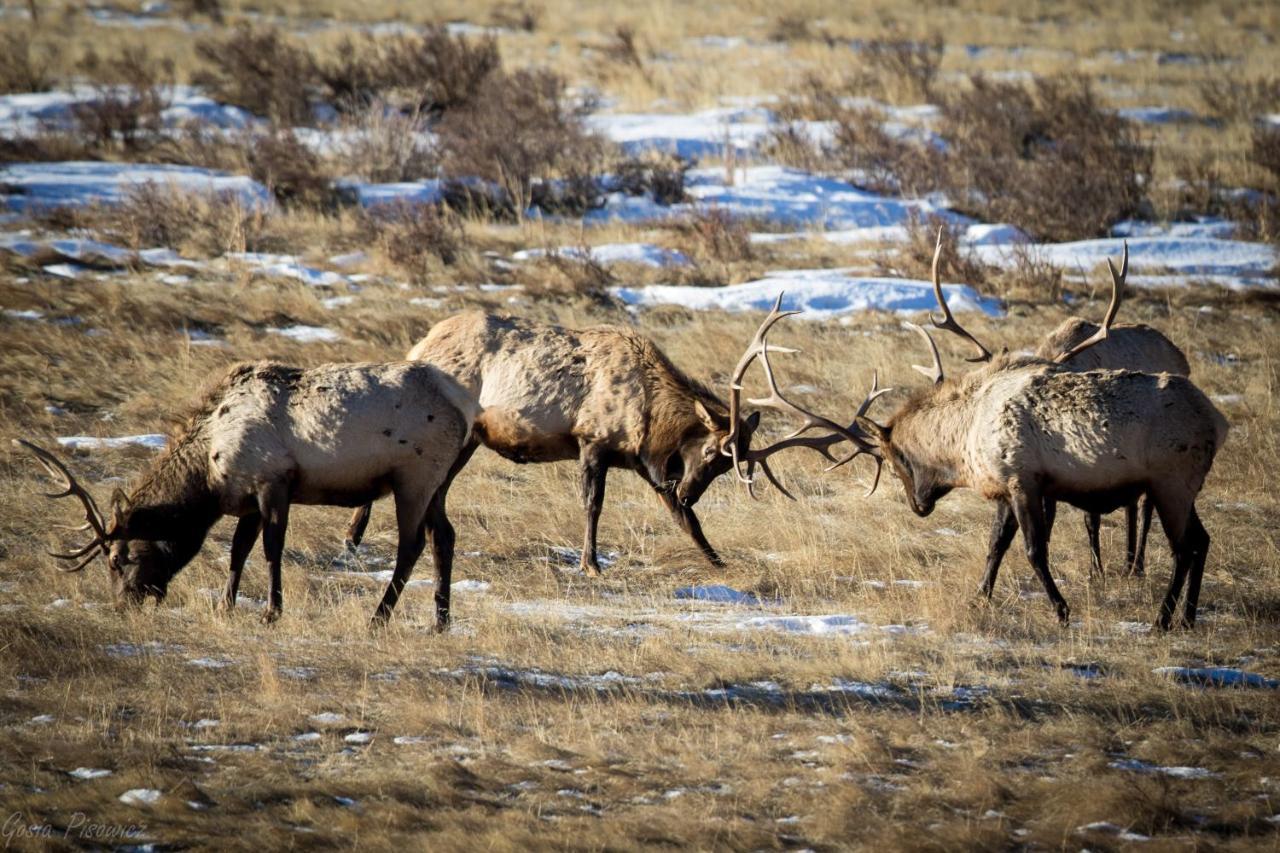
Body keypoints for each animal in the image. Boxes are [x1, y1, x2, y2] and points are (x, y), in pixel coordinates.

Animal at [17, 356, 478, 627]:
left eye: (116, 559)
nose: (122, 604)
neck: (208, 470)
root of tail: (465, 409)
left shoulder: (272, 481)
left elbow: (271, 549)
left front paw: (272, 612)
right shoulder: (247, 500)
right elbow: (238, 550)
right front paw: (225, 604)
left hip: (414, 476)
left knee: (411, 545)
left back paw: (379, 617)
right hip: (436, 484)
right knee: (444, 536)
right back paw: (440, 620)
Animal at [345, 308, 788, 573]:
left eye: (726, 466)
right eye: (712, 451)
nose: (689, 492)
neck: (650, 418)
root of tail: (420, 342)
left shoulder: (644, 463)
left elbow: (685, 520)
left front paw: (718, 561)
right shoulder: (593, 440)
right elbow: (593, 505)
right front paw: (590, 563)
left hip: (465, 439)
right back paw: (352, 536)